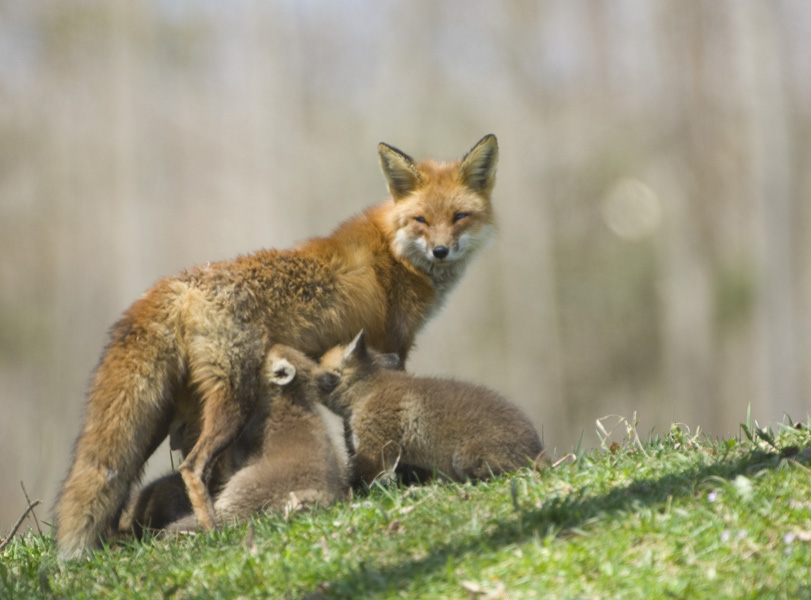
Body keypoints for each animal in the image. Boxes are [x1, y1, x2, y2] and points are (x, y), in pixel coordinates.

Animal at [55, 135, 494, 556]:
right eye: (421, 220)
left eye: (459, 217)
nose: (441, 250)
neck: (394, 251)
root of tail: (175, 285)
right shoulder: (392, 349)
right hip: (234, 397)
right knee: (193, 468)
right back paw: (212, 530)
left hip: (165, 419)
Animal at [318, 330, 544, 486]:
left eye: (317, 363)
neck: (366, 393)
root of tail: (538, 453)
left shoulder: (376, 448)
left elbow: (358, 478)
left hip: (464, 458)